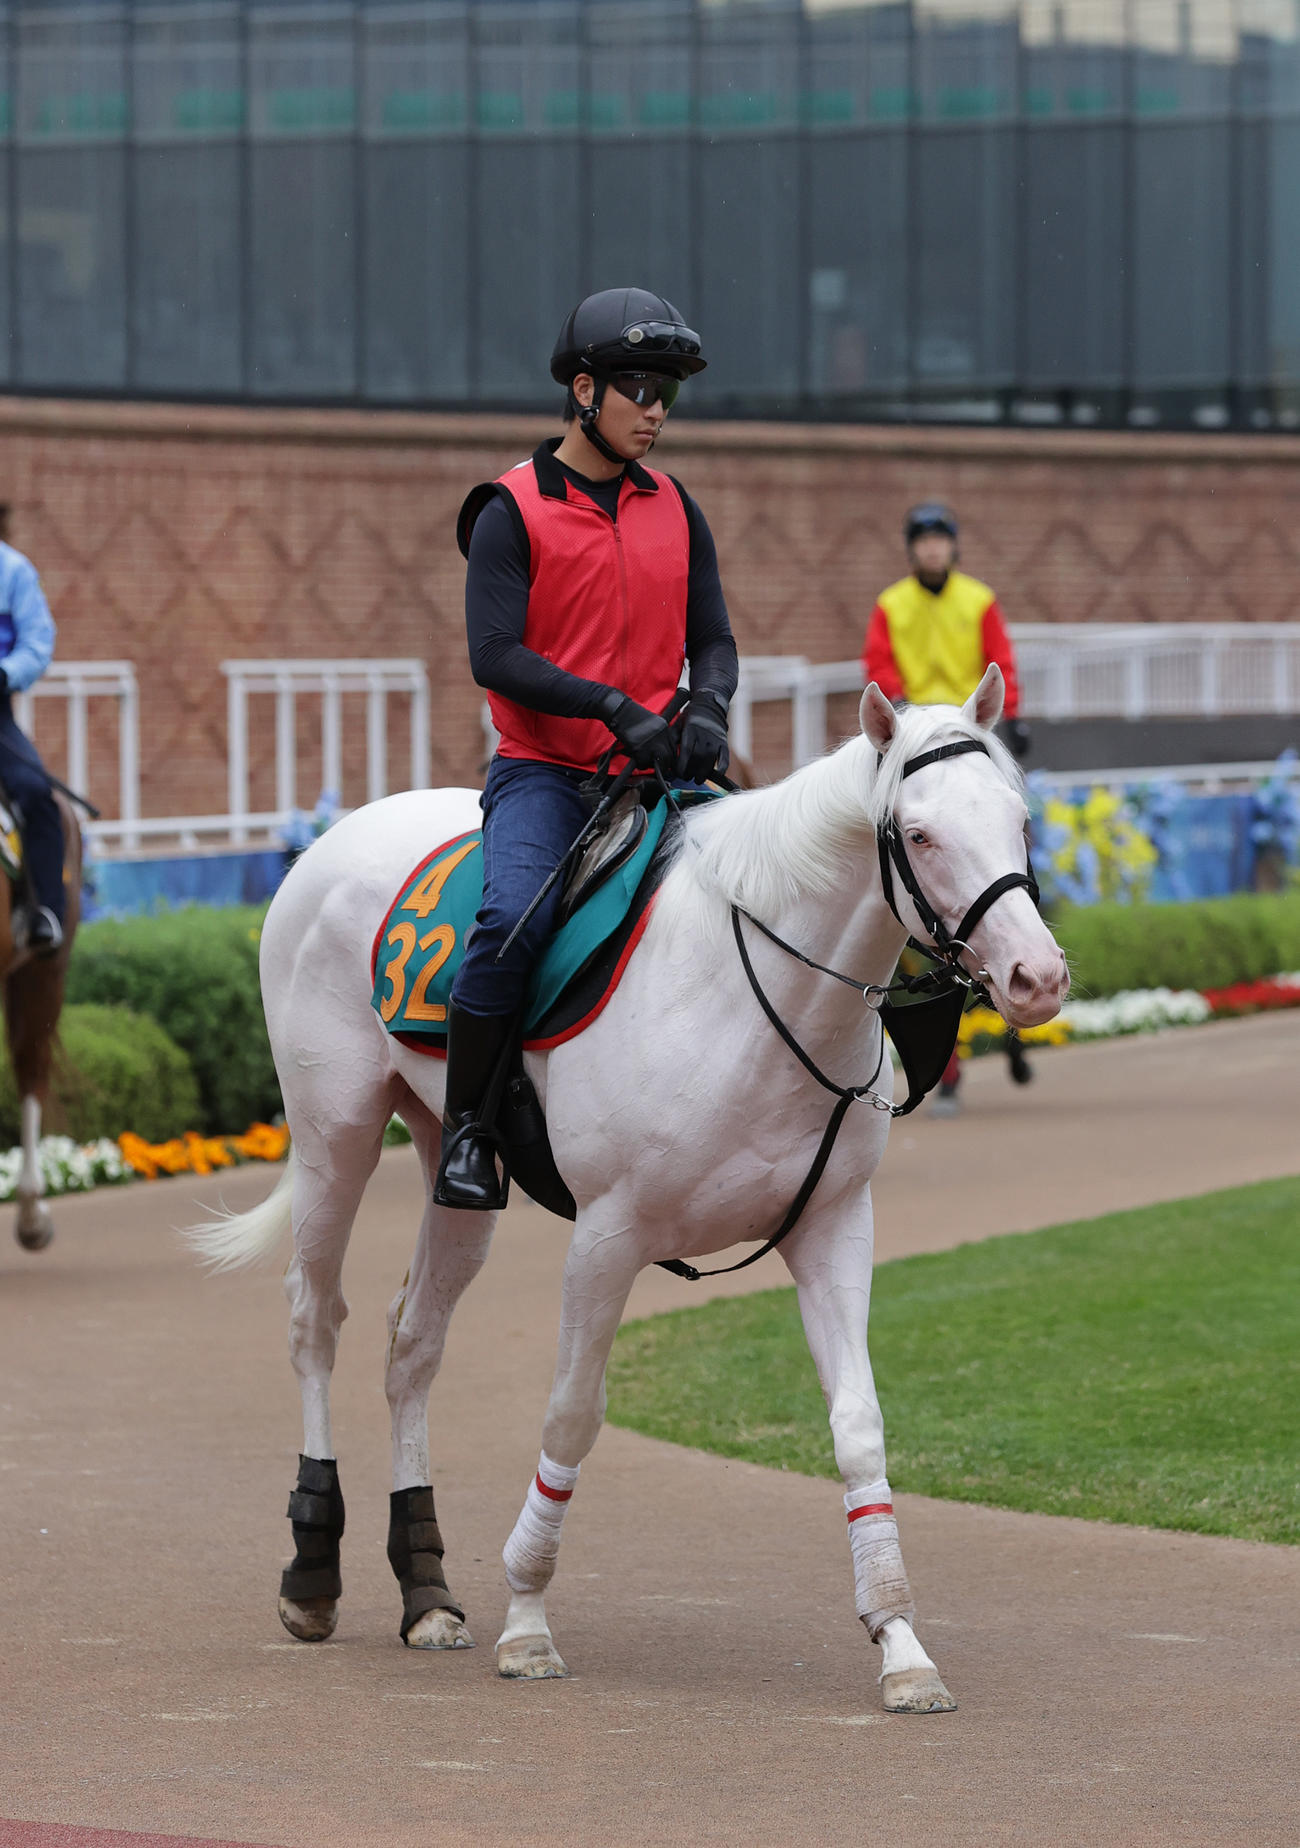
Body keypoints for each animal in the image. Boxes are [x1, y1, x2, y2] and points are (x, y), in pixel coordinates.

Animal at [189, 667, 1067, 1713]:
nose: (1037, 975)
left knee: (413, 1346)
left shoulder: (833, 1229)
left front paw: (898, 1641)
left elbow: (859, 1427)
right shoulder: (607, 1239)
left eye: (1019, 817)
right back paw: (313, 1571)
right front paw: (528, 1621)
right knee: (313, 1320)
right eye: (922, 834)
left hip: (453, 1167)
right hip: (336, 1136)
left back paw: (427, 1591)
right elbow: (572, 1413)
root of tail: (328, 841)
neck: (751, 994)